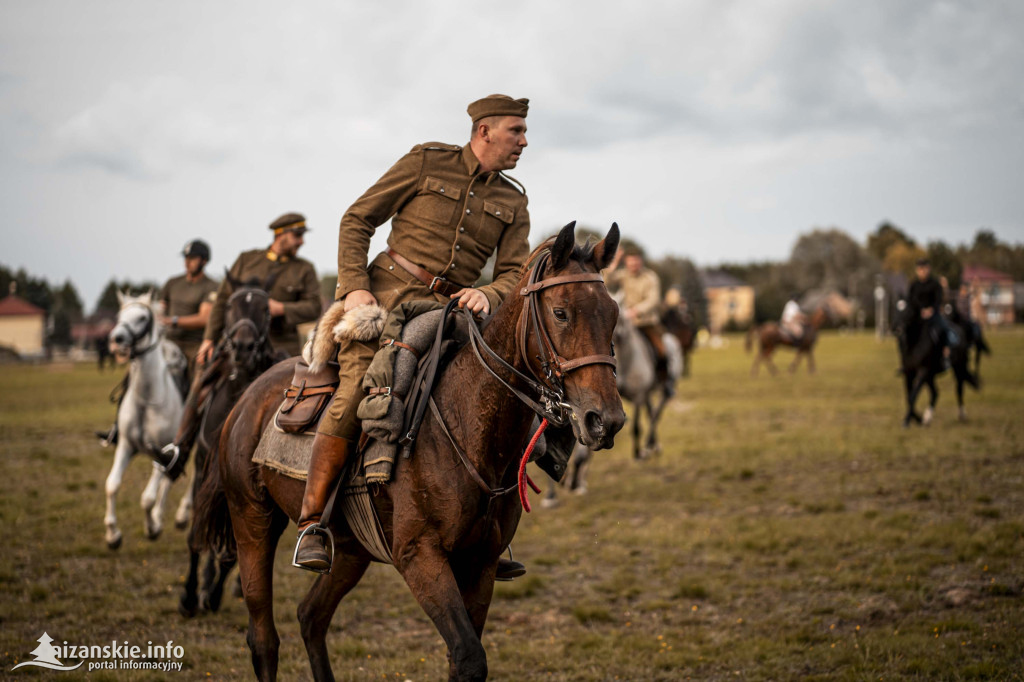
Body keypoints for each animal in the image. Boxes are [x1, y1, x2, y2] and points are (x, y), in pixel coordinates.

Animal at [104, 288, 191, 548]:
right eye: (119, 314)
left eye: (142, 318)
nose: (117, 339)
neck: (146, 399)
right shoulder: (125, 445)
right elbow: (112, 485)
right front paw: (113, 535)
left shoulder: (162, 450)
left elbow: (147, 498)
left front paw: (152, 528)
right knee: (171, 479)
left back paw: (180, 515)